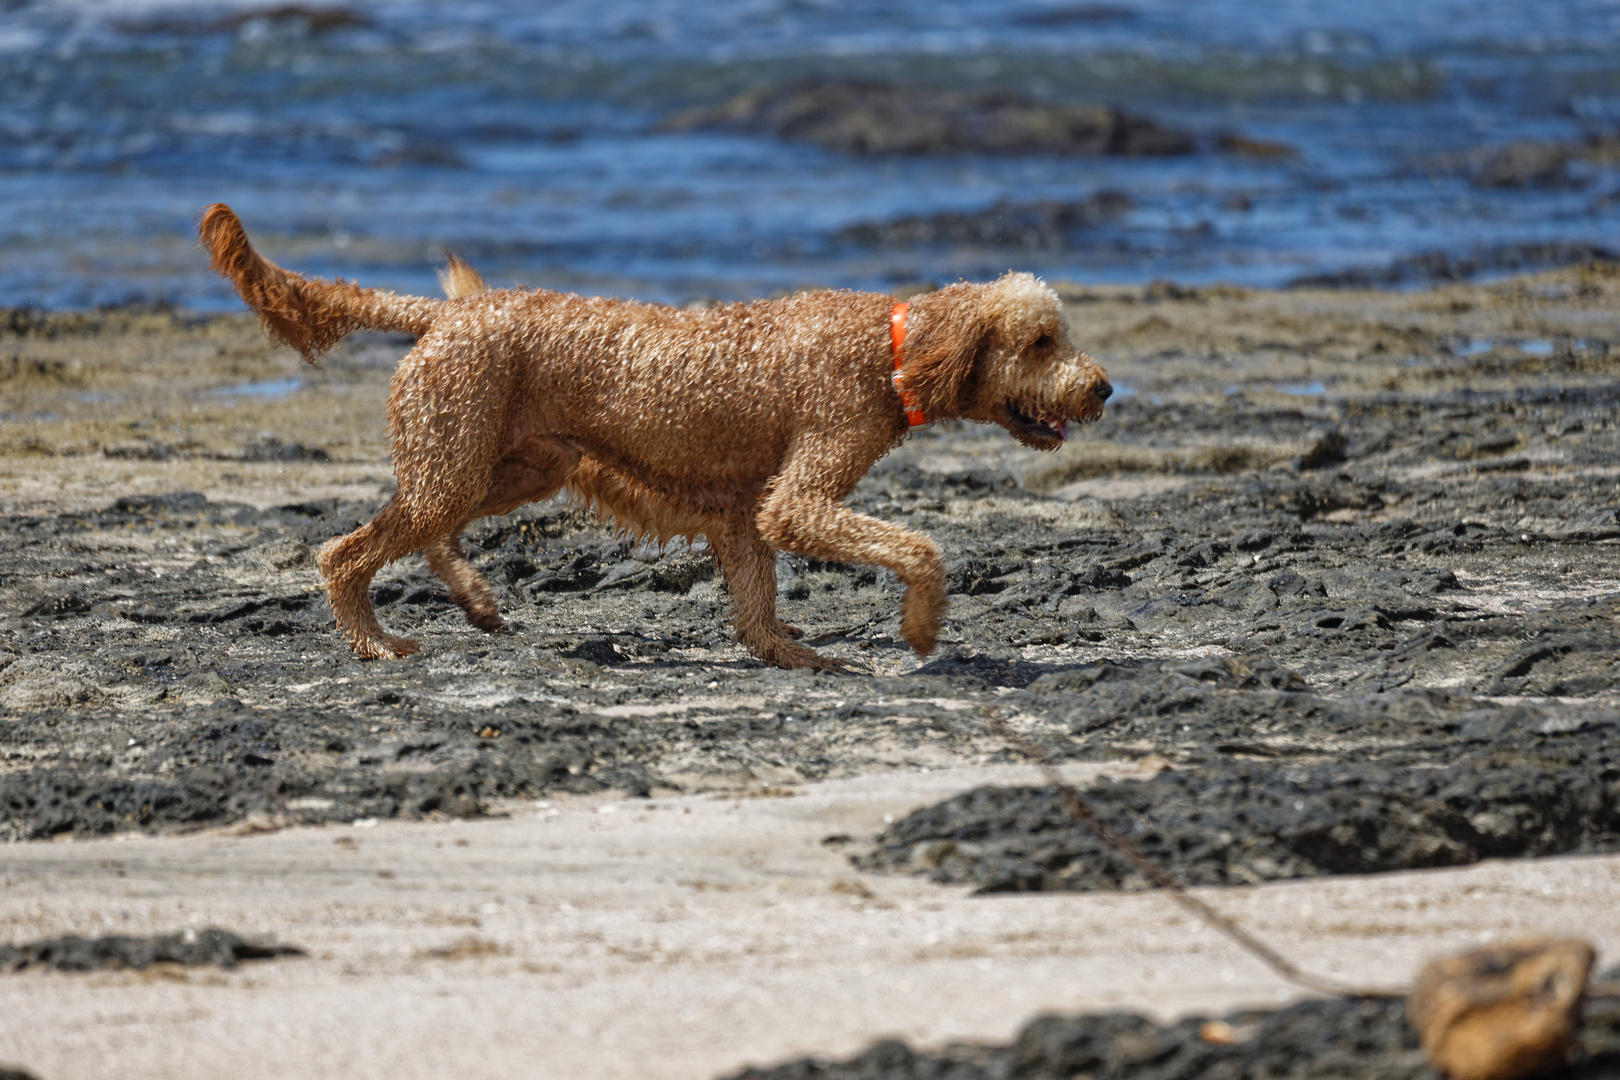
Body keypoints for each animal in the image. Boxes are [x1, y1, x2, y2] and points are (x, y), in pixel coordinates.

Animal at [199, 204, 1114, 667]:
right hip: (455, 461)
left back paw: (477, 600)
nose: (1102, 387)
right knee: (345, 553)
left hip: (509, 467)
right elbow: (919, 548)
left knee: (425, 534)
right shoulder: (797, 500)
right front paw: (921, 628)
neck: (888, 347)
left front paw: (791, 655)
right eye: (1042, 341)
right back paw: (374, 642)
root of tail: (450, 313)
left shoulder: (745, 515)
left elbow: (758, 602)